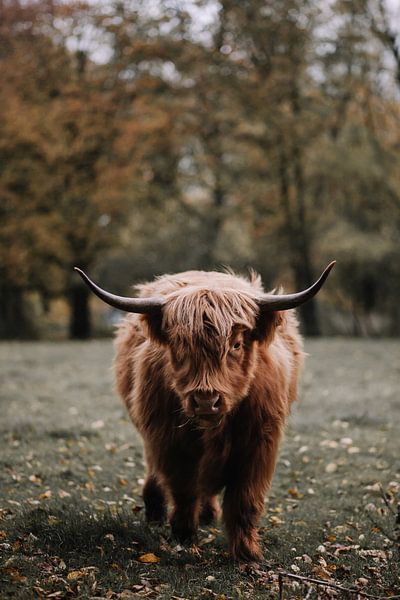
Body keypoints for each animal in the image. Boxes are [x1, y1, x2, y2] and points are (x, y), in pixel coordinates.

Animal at [75, 262, 334, 564]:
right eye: (179, 345)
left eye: (236, 344)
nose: (206, 401)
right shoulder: (169, 441)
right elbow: (184, 489)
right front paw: (184, 537)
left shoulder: (259, 444)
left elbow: (244, 499)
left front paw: (247, 553)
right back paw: (155, 511)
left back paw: (209, 514)